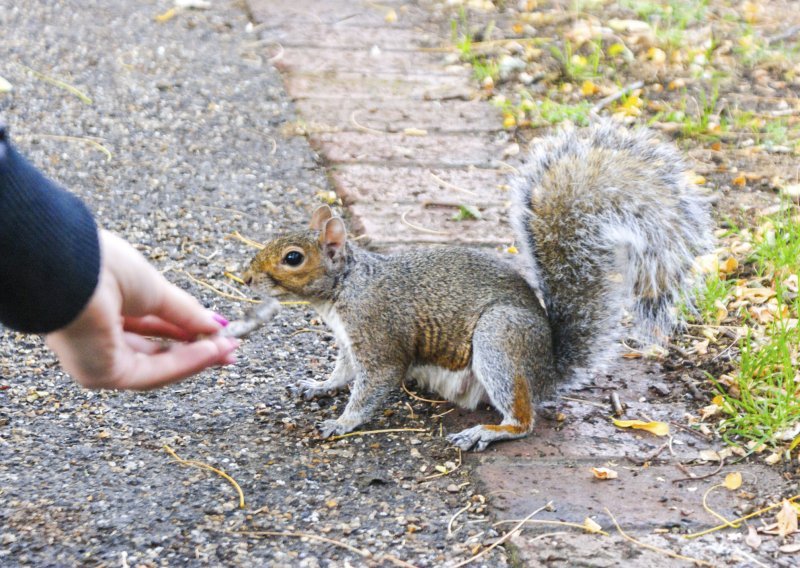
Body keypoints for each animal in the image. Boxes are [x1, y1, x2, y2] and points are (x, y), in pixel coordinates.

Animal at [242, 122, 712, 450]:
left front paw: (342, 421)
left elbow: (374, 383)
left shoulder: (378, 334)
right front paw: (319, 386)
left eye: (293, 258)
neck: (345, 290)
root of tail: (546, 371)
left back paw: (488, 432)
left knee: (523, 420)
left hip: (499, 339)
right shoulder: (347, 341)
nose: (246, 278)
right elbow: (343, 372)